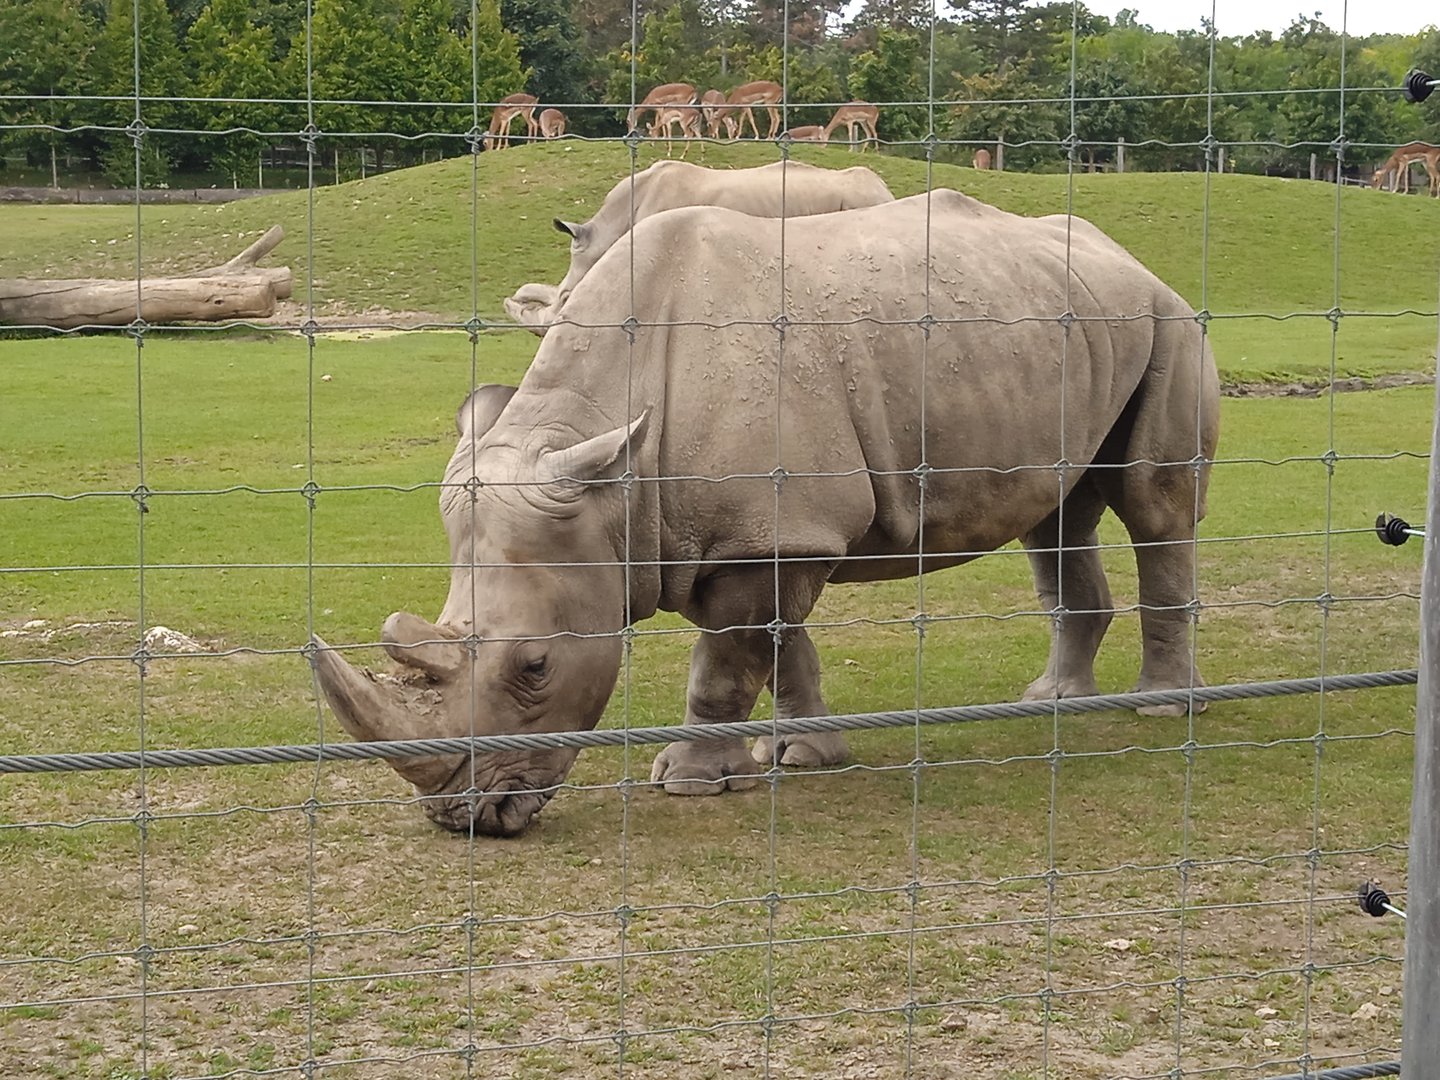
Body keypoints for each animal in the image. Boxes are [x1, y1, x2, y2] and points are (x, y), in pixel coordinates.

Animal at [313, 189, 1220, 836]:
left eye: (535, 667)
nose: (465, 819)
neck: (610, 487)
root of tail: (1127, 257)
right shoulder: (750, 533)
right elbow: (781, 648)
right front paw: (803, 754)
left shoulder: (765, 538)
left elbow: (725, 662)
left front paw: (690, 782)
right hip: (1071, 328)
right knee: (1056, 517)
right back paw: (1054, 702)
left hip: (1170, 320)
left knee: (1154, 504)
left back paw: (1160, 709)